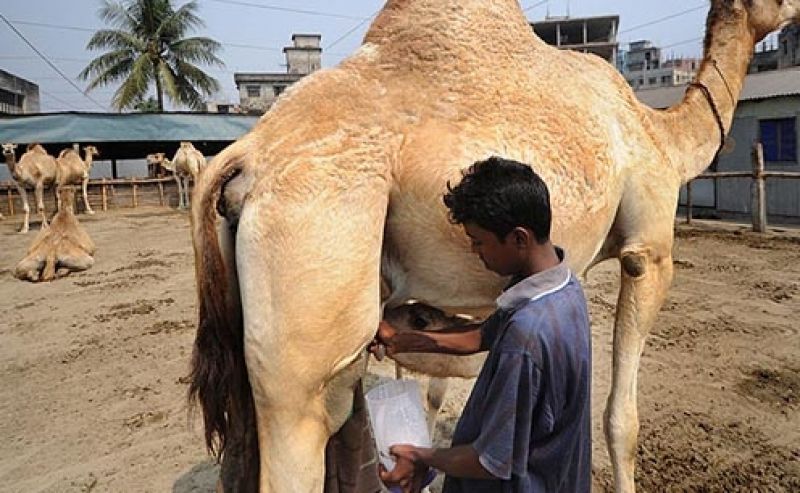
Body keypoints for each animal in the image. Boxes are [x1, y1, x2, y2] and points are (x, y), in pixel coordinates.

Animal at [188, 1, 800, 491]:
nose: (795, 9)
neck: (662, 136)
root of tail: (242, 158)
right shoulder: (647, 250)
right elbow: (621, 421)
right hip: (314, 257)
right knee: (305, 416)